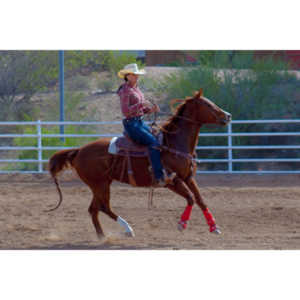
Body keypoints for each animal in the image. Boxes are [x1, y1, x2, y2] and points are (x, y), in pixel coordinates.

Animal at [47, 88, 232, 239]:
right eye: (207, 105)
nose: (228, 116)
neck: (173, 143)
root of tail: (79, 150)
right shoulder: (171, 181)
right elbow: (191, 199)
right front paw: (182, 224)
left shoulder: (188, 178)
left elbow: (200, 200)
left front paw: (214, 227)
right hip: (99, 184)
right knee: (103, 207)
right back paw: (126, 230)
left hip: (101, 184)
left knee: (95, 209)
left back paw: (103, 236)